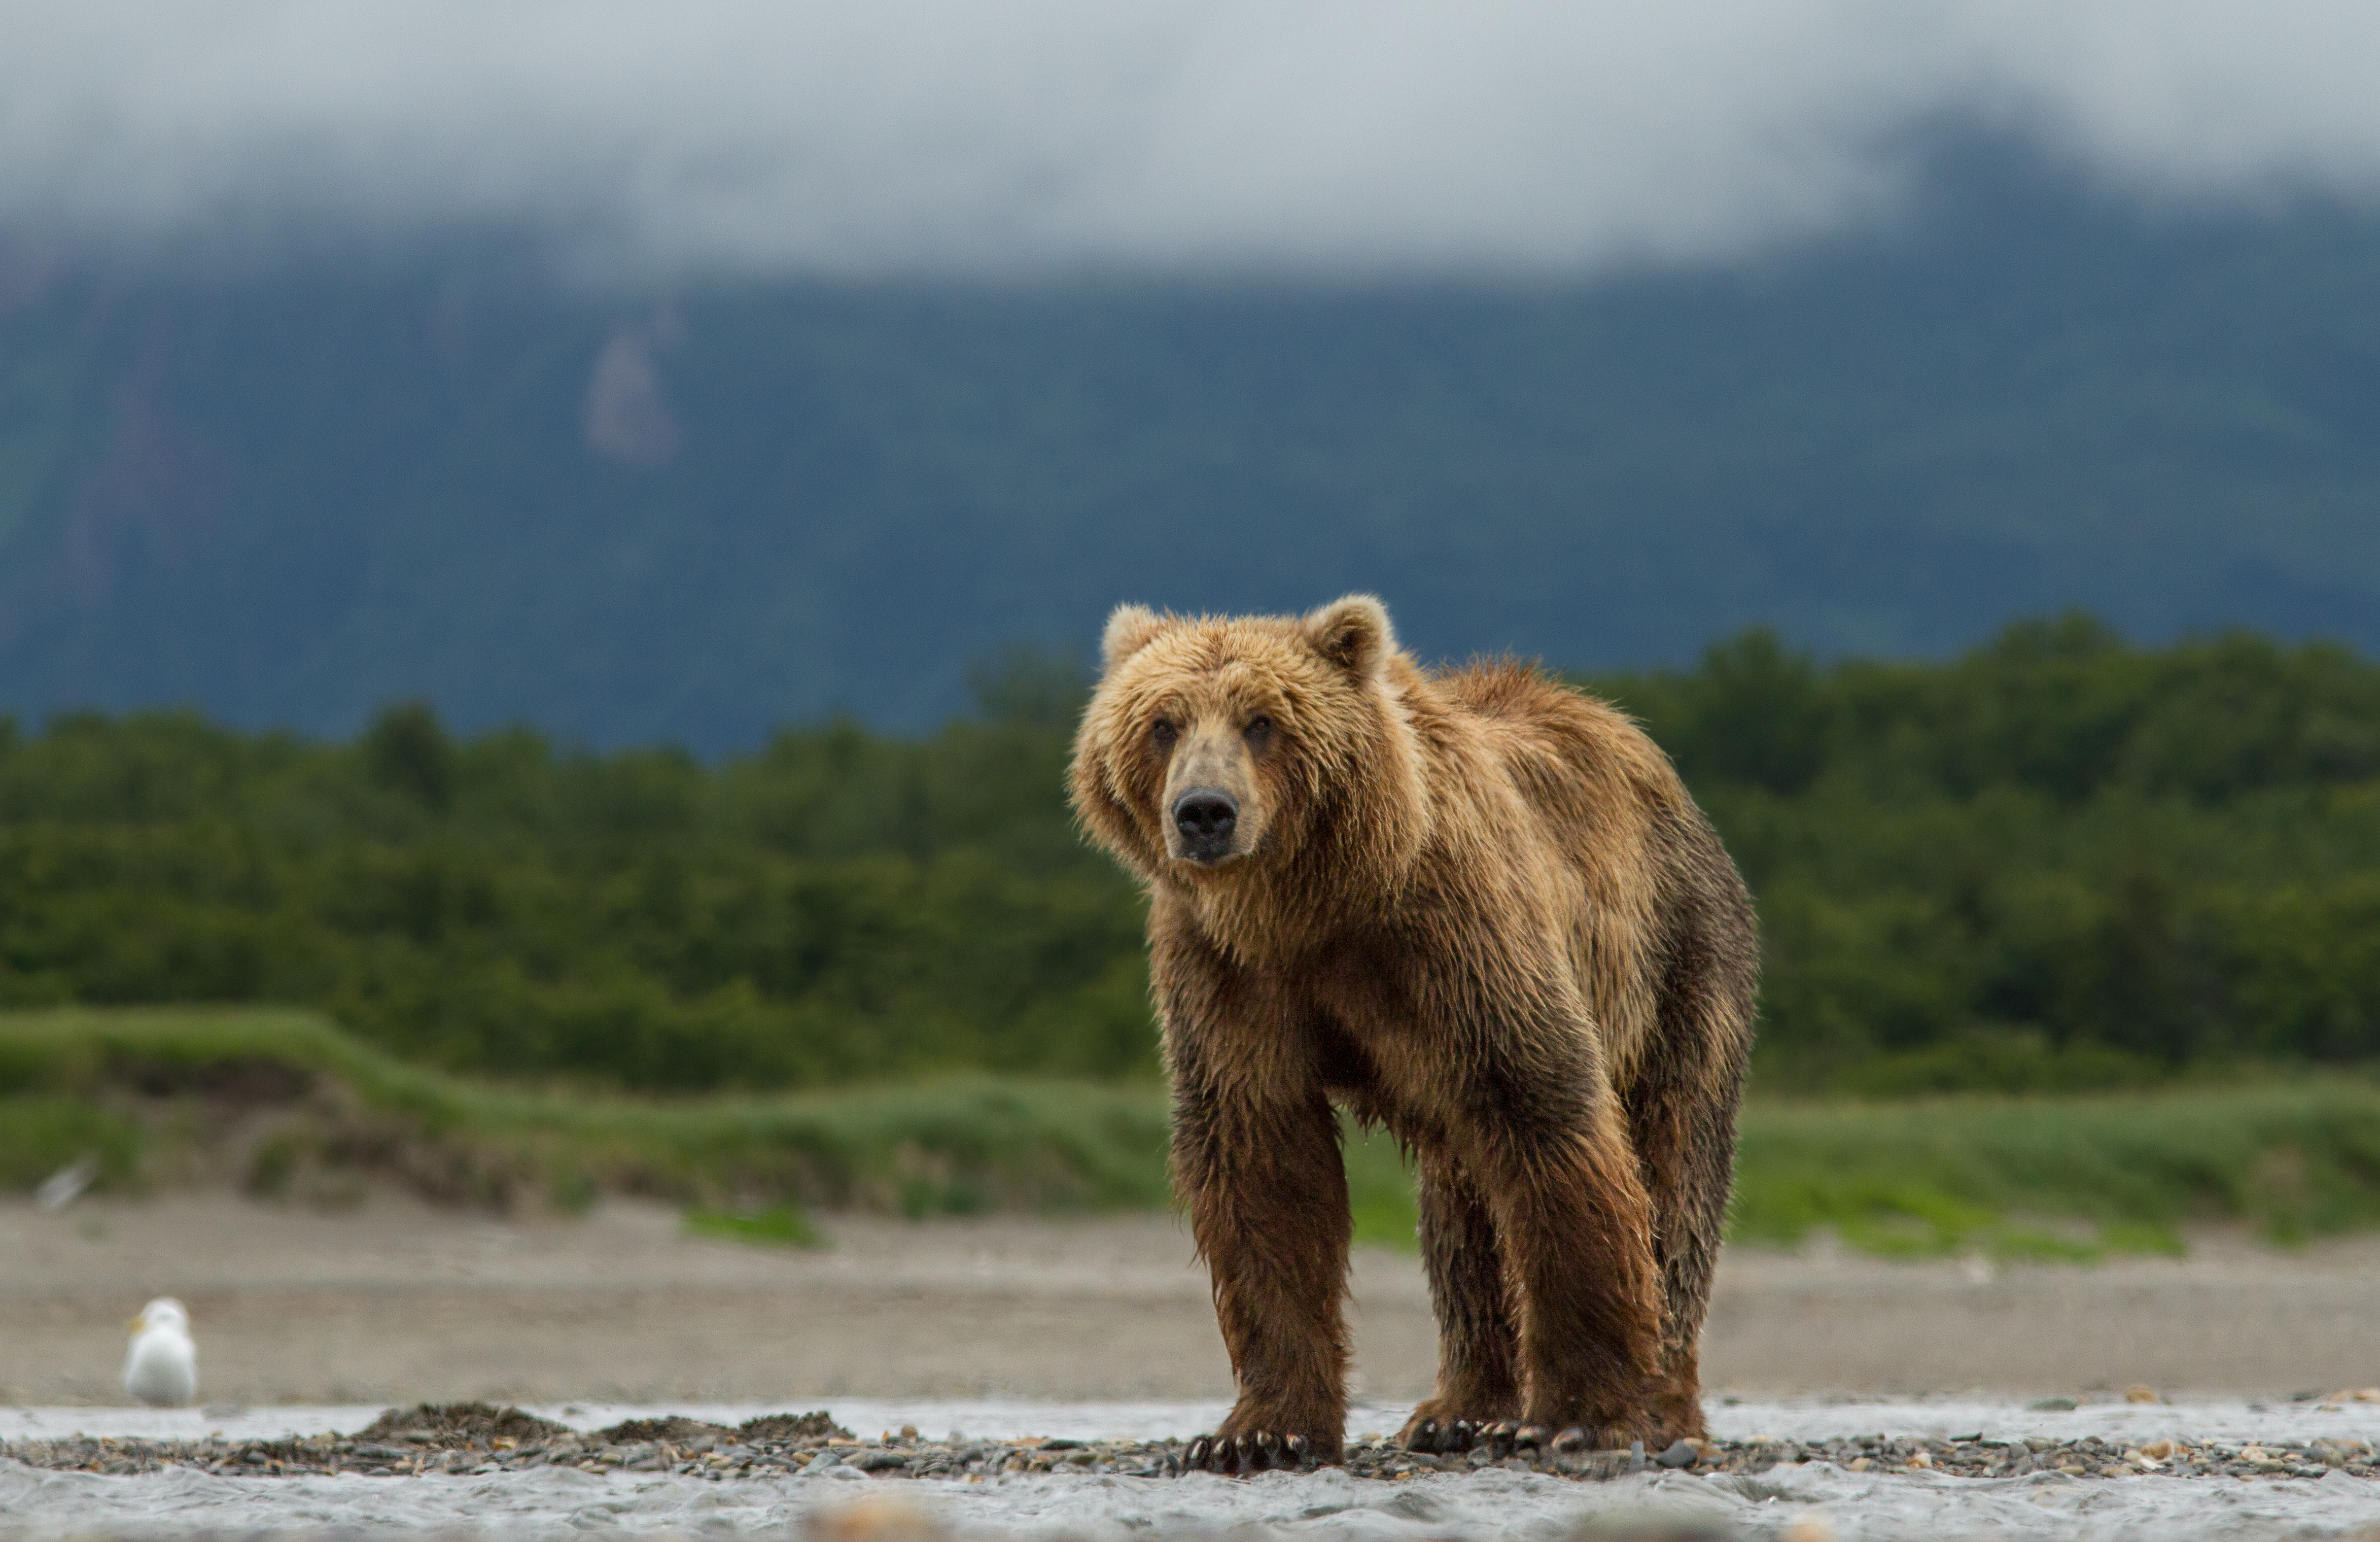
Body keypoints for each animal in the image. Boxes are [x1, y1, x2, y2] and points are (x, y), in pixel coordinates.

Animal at [1071, 590, 1761, 1465]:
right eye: (1163, 722)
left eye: (1263, 720)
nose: (1204, 812)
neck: (1312, 907)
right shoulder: (1227, 972)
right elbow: (1261, 1159)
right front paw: (1260, 1430)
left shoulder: (1454, 935)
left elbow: (1548, 1112)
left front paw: (1579, 1412)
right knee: (1462, 1217)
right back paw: (1459, 1408)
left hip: (1679, 959)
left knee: (1675, 1169)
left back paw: (1661, 1404)